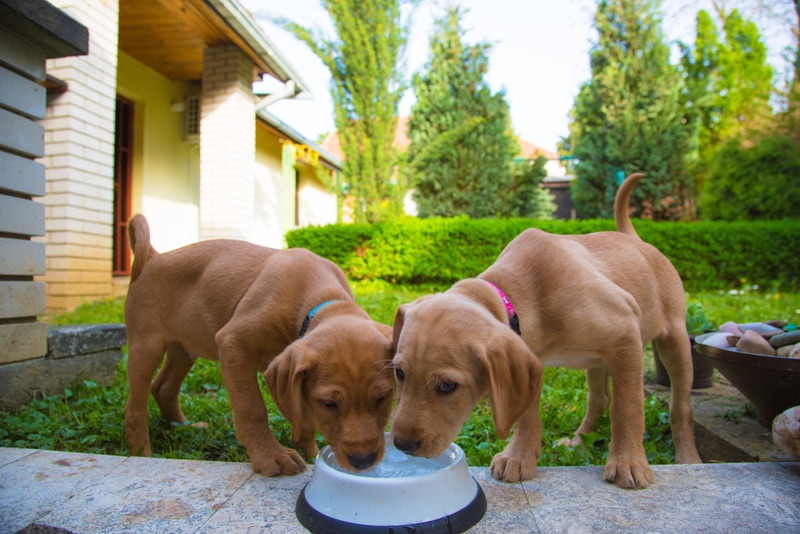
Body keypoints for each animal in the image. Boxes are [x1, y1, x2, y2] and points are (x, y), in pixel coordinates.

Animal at [124, 216, 394, 480]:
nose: (363, 461)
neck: (318, 299)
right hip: (146, 346)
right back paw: (142, 453)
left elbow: (304, 418)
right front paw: (271, 456)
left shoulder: (299, 380)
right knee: (135, 408)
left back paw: (184, 426)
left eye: (383, 397)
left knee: (163, 387)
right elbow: (252, 408)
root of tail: (153, 257)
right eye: (329, 404)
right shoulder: (233, 344)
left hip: (184, 349)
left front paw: (310, 452)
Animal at [392, 175, 700, 490]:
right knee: (599, 398)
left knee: (679, 406)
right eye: (399, 373)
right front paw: (519, 458)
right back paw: (579, 441)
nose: (402, 444)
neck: (520, 293)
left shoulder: (626, 333)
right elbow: (528, 413)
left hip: (674, 342)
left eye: (448, 386)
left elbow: (628, 406)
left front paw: (629, 462)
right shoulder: (528, 364)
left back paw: (688, 456)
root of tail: (637, 241)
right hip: (597, 361)